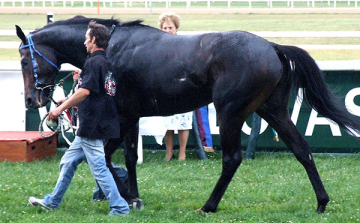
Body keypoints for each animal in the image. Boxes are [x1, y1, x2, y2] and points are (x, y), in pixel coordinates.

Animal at [16, 16, 360, 213]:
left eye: (23, 61)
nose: (32, 99)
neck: (113, 48)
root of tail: (272, 47)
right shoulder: (131, 115)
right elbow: (122, 156)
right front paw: (125, 194)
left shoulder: (124, 114)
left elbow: (111, 157)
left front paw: (125, 195)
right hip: (272, 109)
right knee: (302, 149)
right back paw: (321, 201)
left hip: (230, 111)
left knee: (232, 159)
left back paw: (209, 205)